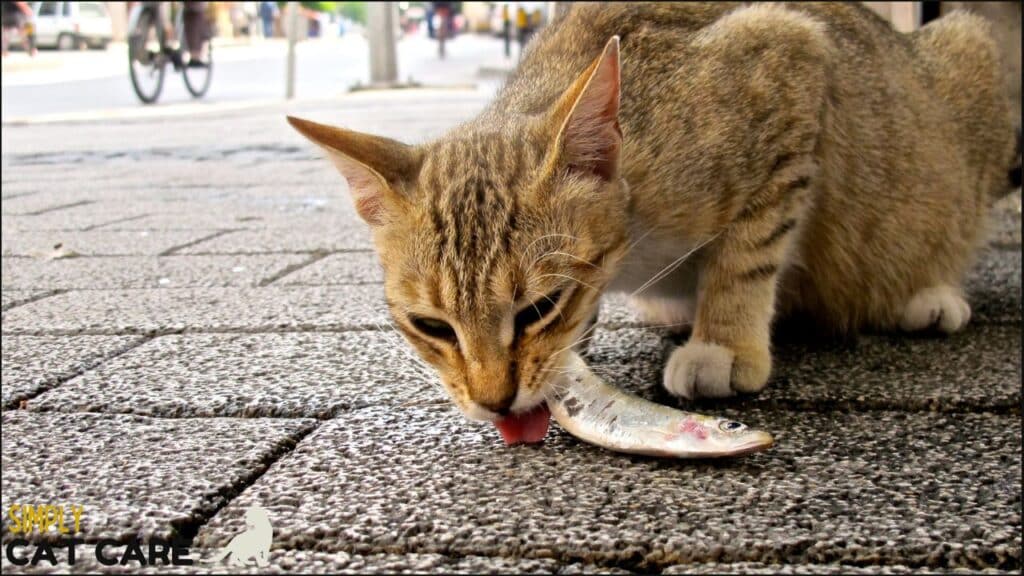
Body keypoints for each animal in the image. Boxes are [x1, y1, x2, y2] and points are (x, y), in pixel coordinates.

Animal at [288, 3, 1015, 438]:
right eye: (431, 326)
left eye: (538, 307)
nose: (493, 402)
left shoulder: (790, 57)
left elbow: (748, 251)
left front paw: (723, 341)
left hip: (971, 66)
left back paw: (927, 294)